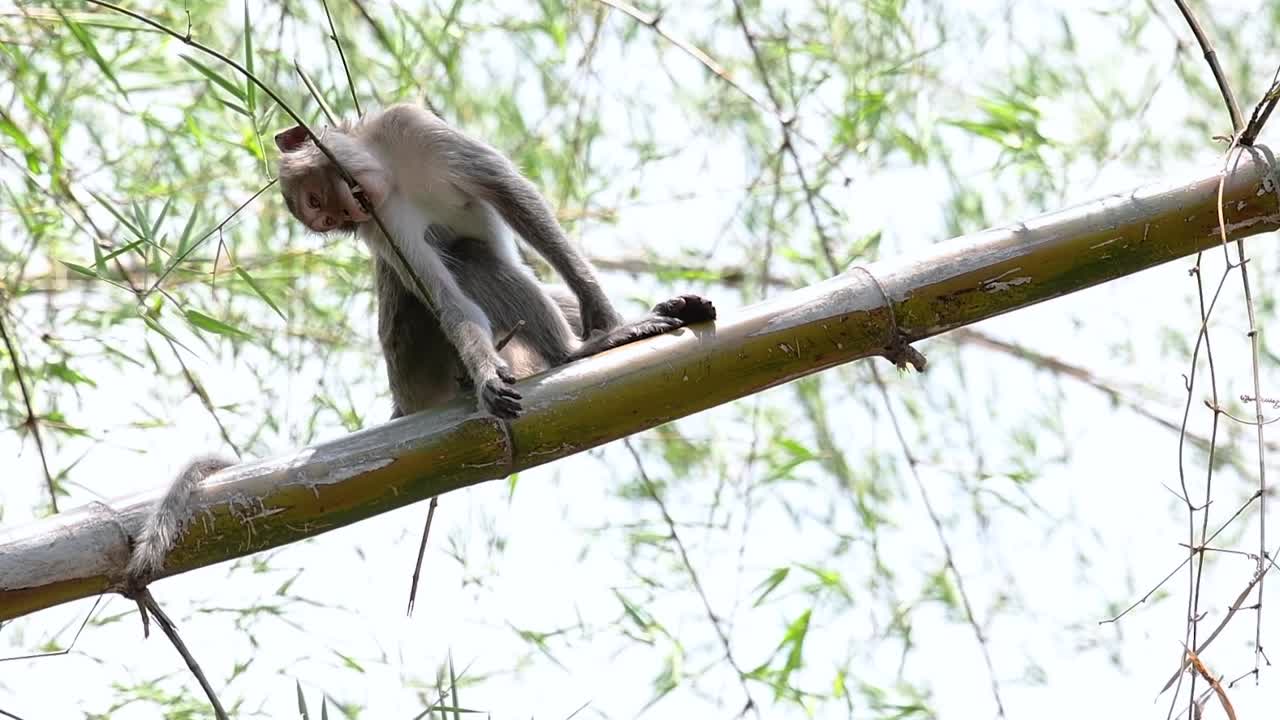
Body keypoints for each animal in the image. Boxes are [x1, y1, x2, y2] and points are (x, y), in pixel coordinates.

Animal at [274, 102, 716, 419]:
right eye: (332, 221)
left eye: (317, 200)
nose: (346, 214)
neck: (390, 172)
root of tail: (405, 401)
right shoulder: (382, 225)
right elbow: (447, 298)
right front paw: (487, 372)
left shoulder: (411, 125)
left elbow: (515, 199)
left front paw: (596, 302)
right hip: (425, 370)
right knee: (470, 257)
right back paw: (576, 352)